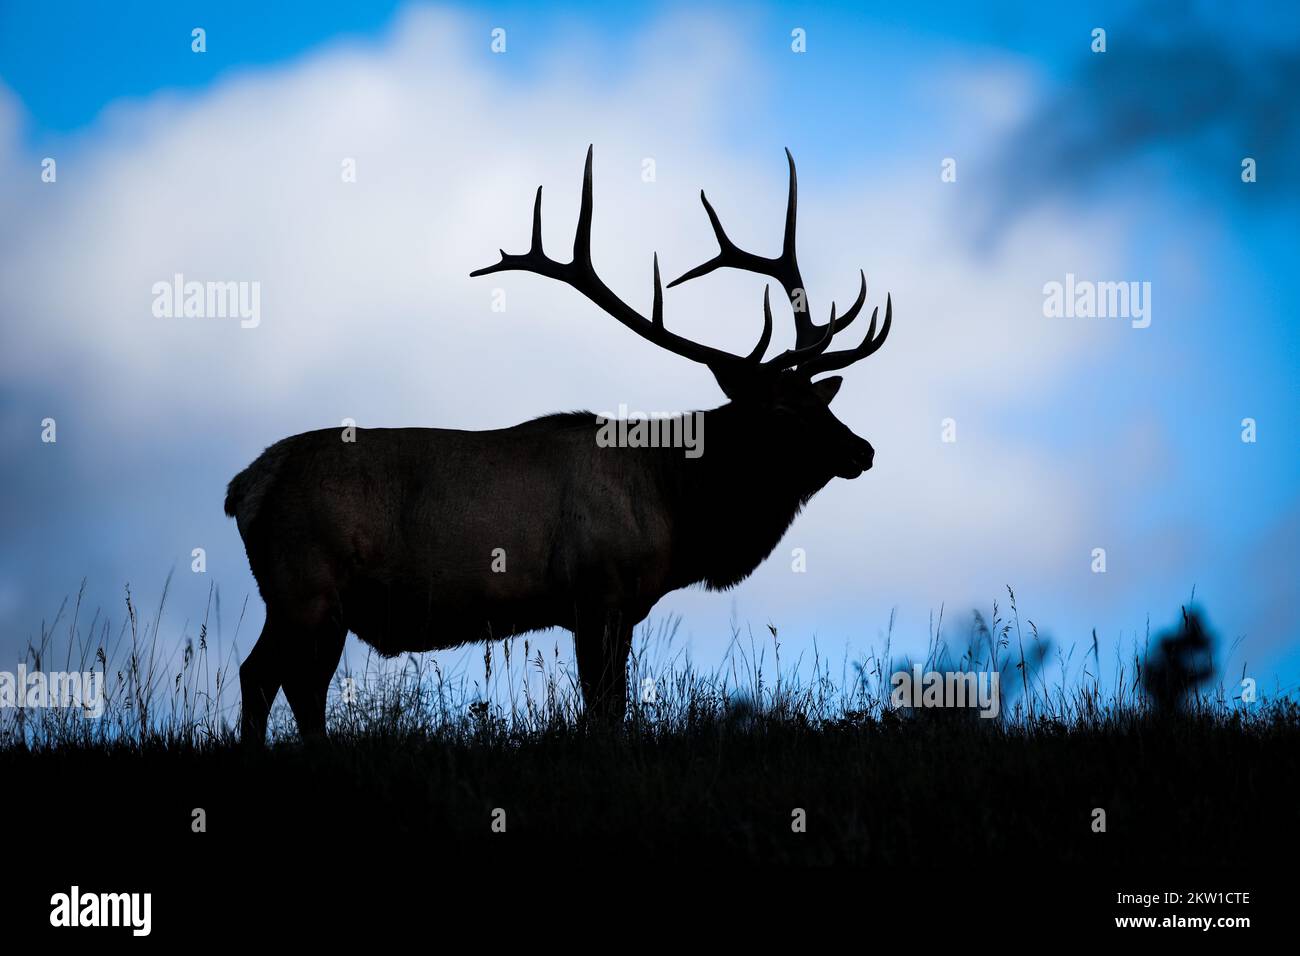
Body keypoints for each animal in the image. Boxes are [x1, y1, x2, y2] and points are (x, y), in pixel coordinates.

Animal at [226, 147, 892, 742]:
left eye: (822, 401)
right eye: (782, 411)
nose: (863, 451)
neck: (677, 507)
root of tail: (244, 487)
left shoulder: (610, 607)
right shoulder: (598, 592)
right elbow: (604, 709)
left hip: (311, 600)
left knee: (282, 680)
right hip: (304, 583)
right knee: (275, 679)